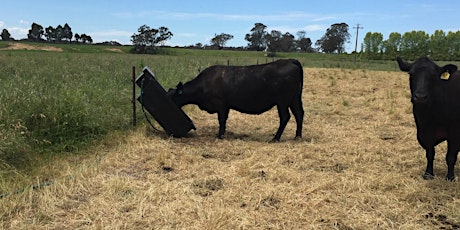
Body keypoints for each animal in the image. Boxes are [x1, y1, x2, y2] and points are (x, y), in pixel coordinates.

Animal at [167, 58, 304, 142]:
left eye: (171, 96)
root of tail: (290, 60)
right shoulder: (226, 107)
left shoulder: (221, 105)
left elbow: (221, 120)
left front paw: (220, 135)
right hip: (294, 99)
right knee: (299, 114)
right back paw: (297, 136)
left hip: (283, 101)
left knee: (285, 117)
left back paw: (276, 138)